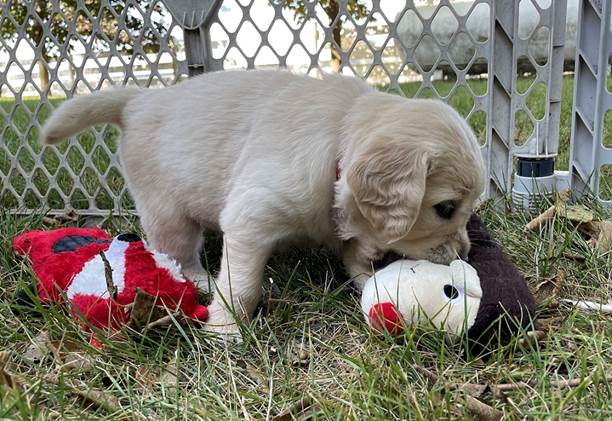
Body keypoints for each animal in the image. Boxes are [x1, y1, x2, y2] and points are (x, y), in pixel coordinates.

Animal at [40, 71, 486, 334]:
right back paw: (200, 280)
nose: (464, 254)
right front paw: (225, 331)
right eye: (445, 208)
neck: (339, 138)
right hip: (167, 210)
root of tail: (138, 101)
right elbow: (241, 286)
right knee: (177, 253)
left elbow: (357, 257)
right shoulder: (251, 217)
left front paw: (370, 282)